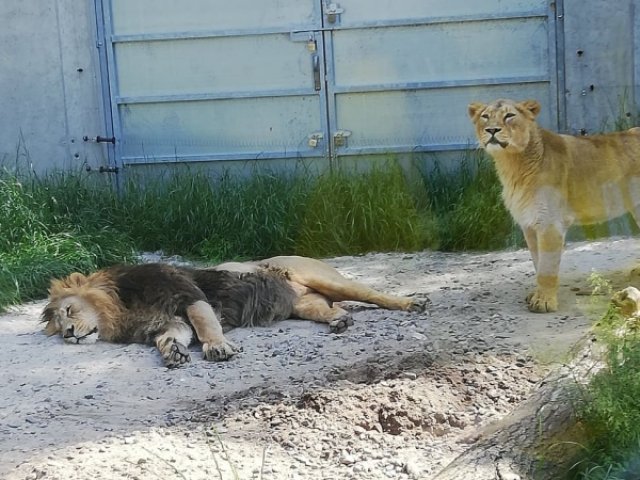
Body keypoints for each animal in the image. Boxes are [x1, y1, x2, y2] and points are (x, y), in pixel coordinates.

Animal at [43, 256, 424, 366]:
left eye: (69, 310)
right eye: (58, 325)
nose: (68, 334)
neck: (120, 309)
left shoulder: (187, 294)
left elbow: (205, 323)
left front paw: (218, 348)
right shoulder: (168, 320)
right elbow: (172, 337)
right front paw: (174, 353)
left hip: (330, 281)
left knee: (375, 294)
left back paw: (413, 302)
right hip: (305, 304)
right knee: (326, 310)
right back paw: (339, 320)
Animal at [468, 99, 640, 314]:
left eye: (509, 116)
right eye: (485, 116)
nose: (492, 130)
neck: (512, 164)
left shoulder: (550, 223)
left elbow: (546, 268)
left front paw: (544, 302)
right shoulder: (529, 223)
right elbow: (538, 262)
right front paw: (538, 295)